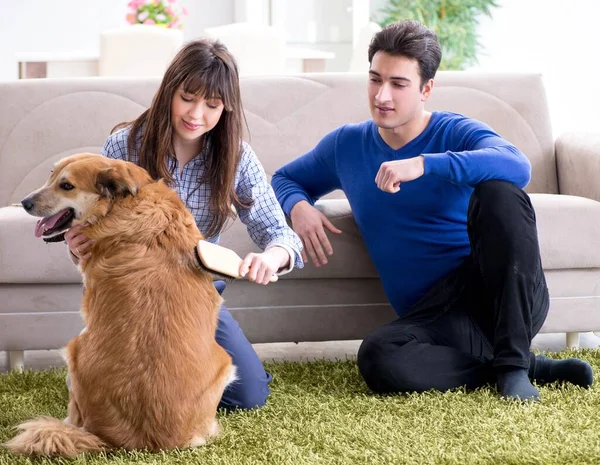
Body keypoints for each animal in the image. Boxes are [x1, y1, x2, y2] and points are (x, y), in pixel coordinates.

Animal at [7, 153, 238, 456]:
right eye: (51, 175)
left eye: (66, 186)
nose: (24, 203)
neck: (123, 205)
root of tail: (136, 440)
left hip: (75, 349)